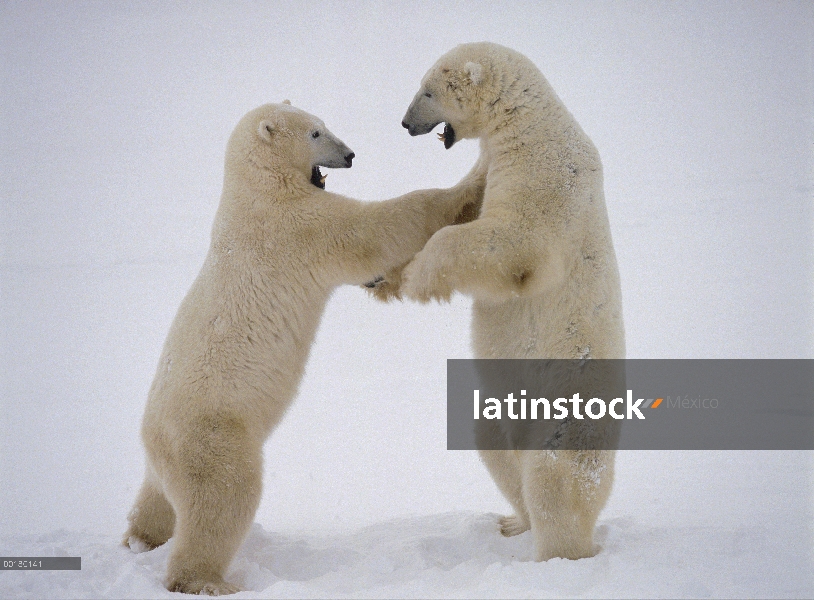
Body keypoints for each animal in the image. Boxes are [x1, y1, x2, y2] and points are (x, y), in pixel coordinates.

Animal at [124, 101, 488, 592]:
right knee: (222, 500)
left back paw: (139, 538)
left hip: (163, 456)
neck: (256, 190)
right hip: (213, 435)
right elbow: (376, 228)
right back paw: (207, 580)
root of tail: (155, 437)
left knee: (156, 499)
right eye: (316, 133)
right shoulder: (296, 228)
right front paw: (470, 181)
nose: (350, 154)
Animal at [392, 44, 628, 564]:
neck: (528, 120)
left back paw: (557, 553)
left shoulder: (546, 173)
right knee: (495, 449)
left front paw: (417, 278)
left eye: (427, 91)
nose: (404, 123)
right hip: (502, 414)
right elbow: (461, 202)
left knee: (554, 480)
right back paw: (512, 522)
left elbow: (510, 237)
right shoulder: (493, 162)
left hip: (565, 414)